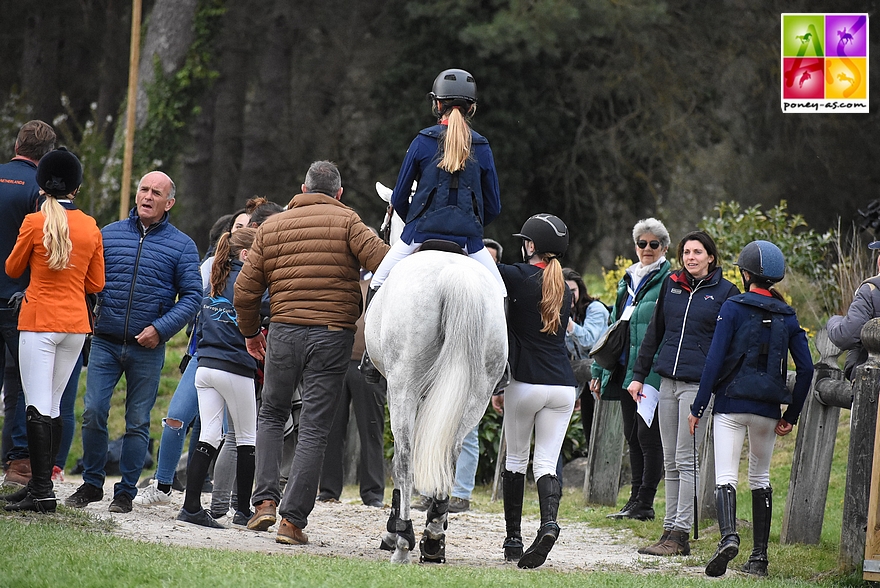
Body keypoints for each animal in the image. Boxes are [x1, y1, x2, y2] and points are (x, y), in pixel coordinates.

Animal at [364, 181, 506, 564]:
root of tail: (455, 276)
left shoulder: (398, 390)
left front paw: (393, 532)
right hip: (477, 395)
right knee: (451, 454)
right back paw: (433, 539)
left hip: (404, 387)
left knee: (405, 456)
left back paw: (402, 540)